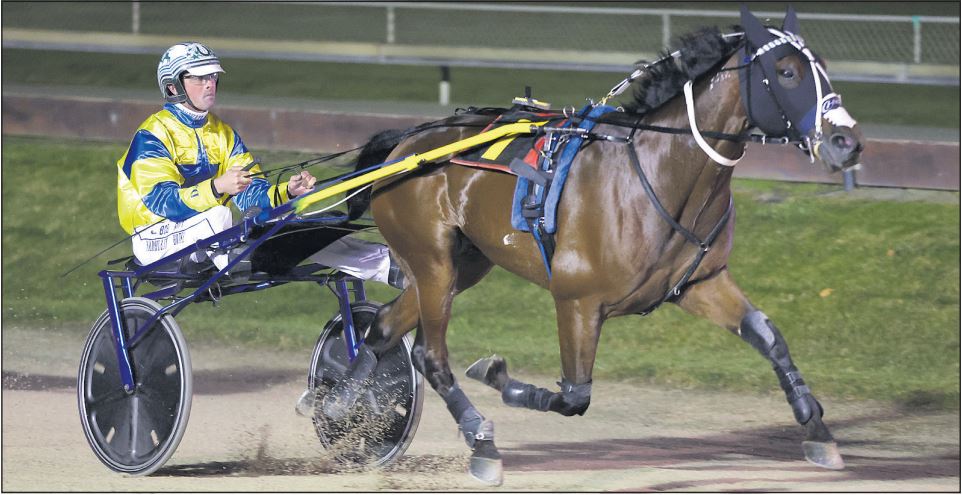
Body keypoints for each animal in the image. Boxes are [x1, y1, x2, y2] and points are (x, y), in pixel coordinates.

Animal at [324, 6, 864, 485]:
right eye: (787, 72)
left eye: (822, 67)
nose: (847, 142)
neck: (659, 171)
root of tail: (406, 145)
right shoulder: (577, 300)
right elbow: (573, 396)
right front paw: (495, 374)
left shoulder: (700, 283)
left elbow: (768, 336)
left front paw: (816, 427)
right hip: (433, 261)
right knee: (430, 356)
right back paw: (481, 444)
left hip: (463, 265)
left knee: (384, 329)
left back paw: (338, 402)